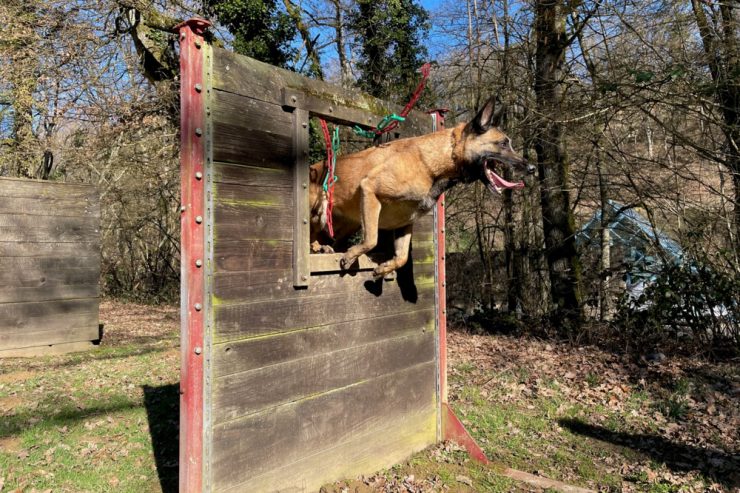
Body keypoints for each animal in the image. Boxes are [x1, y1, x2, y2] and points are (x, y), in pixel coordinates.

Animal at [310, 97, 536, 276]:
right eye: (504, 144)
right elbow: (371, 239)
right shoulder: (370, 189)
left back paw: (323, 248)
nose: (532, 168)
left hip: (351, 222)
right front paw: (351, 256)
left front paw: (386, 267)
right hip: (316, 208)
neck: (436, 162)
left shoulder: (403, 223)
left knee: (329, 239)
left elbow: (401, 257)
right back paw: (319, 248)